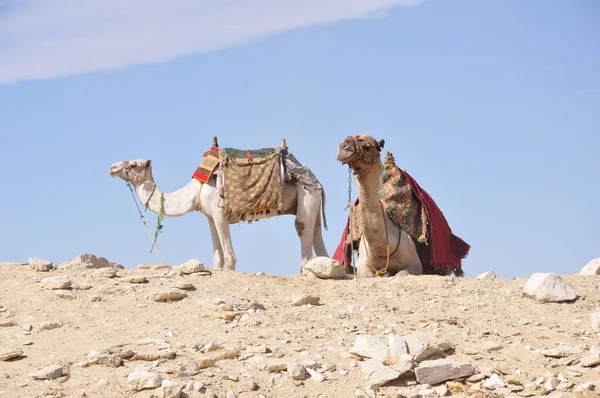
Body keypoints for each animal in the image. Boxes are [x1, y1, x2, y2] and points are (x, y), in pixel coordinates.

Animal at [110, 143, 330, 270]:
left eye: (133, 165)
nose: (112, 167)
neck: (196, 191)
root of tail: (317, 181)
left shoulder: (220, 214)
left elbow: (230, 257)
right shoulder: (210, 217)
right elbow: (218, 257)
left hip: (306, 195)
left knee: (302, 227)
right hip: (312, 202)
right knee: (317, 234)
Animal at [336, 135, 424, 278]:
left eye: (367, 146)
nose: (343, 146)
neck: (384, 248)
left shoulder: (415, 264)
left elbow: (401, 274)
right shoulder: (363, 265)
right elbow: (368, 275)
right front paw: (385, 274)